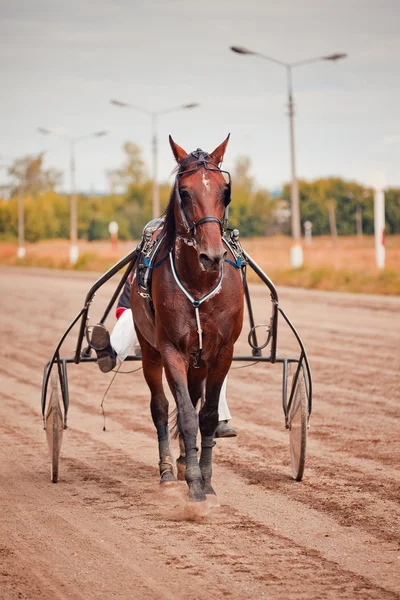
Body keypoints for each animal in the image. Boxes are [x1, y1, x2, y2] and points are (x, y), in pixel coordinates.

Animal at [131, 136, 244, 510]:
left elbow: (205, 416)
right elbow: (184, 415)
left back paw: (182, 460)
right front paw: (194, 485)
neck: (199, 282)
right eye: (184, 191)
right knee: (161, 406)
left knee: (194, 399)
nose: (212, 255)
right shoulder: (172, 350)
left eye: (225, 190)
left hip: (200, 360)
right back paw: (168, 470)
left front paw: (206, 480)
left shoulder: (222, 352)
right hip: (150, 351)